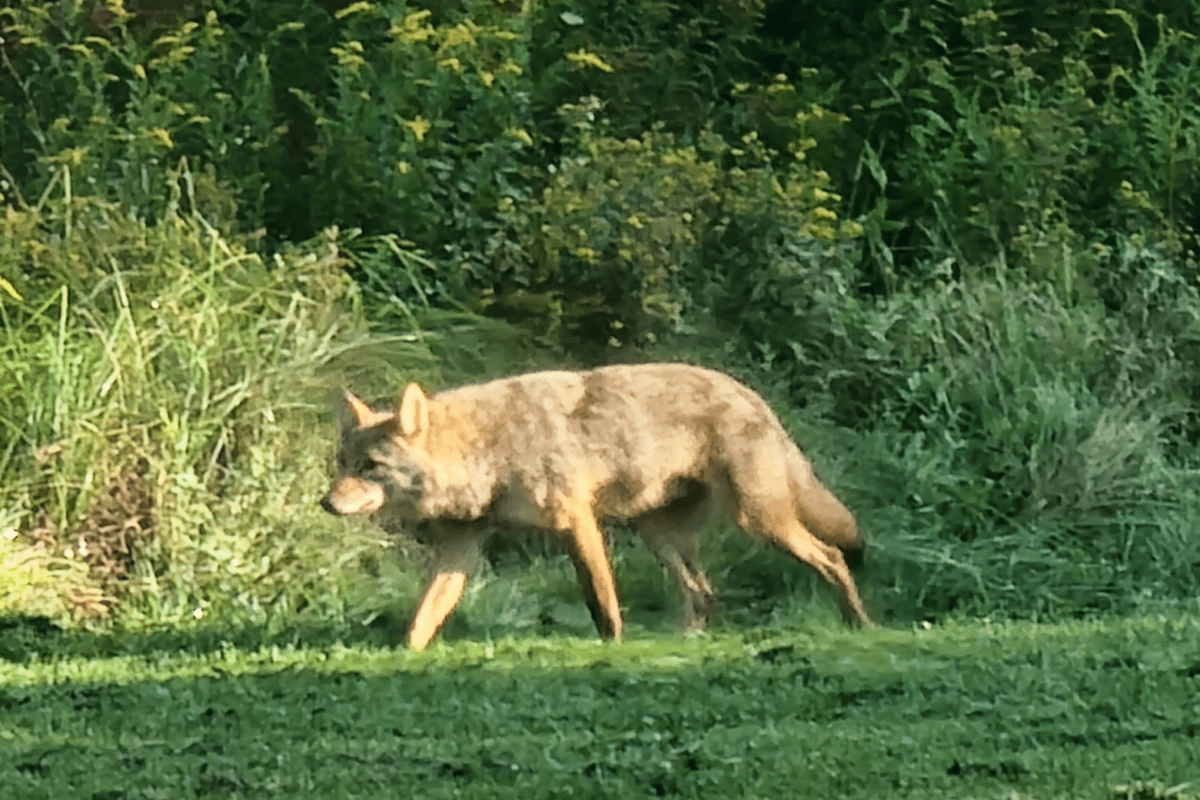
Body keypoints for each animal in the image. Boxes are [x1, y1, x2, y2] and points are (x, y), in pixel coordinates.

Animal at [320, 363, 871, 650]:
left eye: (369, 466)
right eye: (342, 463)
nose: (325, 502)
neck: (488, 451)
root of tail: (752, 394)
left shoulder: (576, 523)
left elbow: (601, 602)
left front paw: (613, 648)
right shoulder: (461, 552)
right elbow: (421, 619)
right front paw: (402, 658)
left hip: (758, 521)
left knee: (833, 558)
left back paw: (860, 625)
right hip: (660, 536)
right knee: (704, 592)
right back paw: (683, 641)